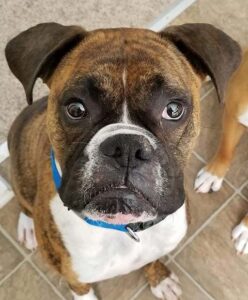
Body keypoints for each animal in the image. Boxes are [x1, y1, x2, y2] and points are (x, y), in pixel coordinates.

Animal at [5, 22, 242, 298]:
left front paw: (160, 279)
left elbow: (152, 261)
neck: (123, 228)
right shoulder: (73, 277)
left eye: (173, 110)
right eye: (76, 109)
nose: (127, 147)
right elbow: (83, 291)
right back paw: (27, 225)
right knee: (23, 201)